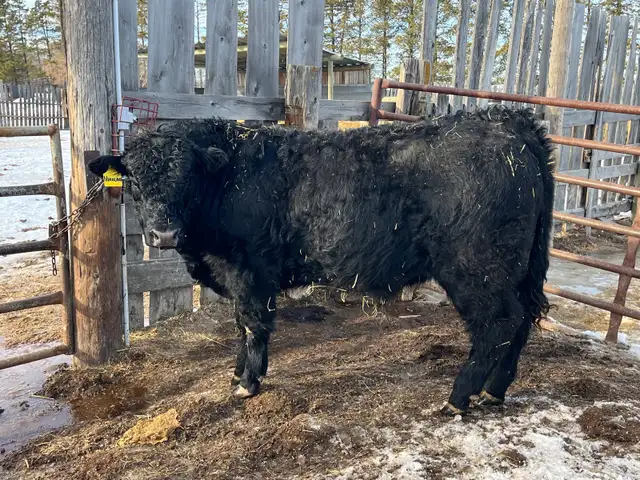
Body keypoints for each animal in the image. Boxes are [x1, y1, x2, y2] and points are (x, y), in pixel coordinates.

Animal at [88, 106, 554, 416]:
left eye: (187, 177)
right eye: (134, 179)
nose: (163, 234)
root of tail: (506, 121)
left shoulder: (250, 272)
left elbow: (253, 325)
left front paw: (248, 383)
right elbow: (241, 324)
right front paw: (237, 374)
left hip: (477, 271)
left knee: (498, 325)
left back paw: (459, 396)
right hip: (519, 271)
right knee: (522, 321)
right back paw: (494, 391)